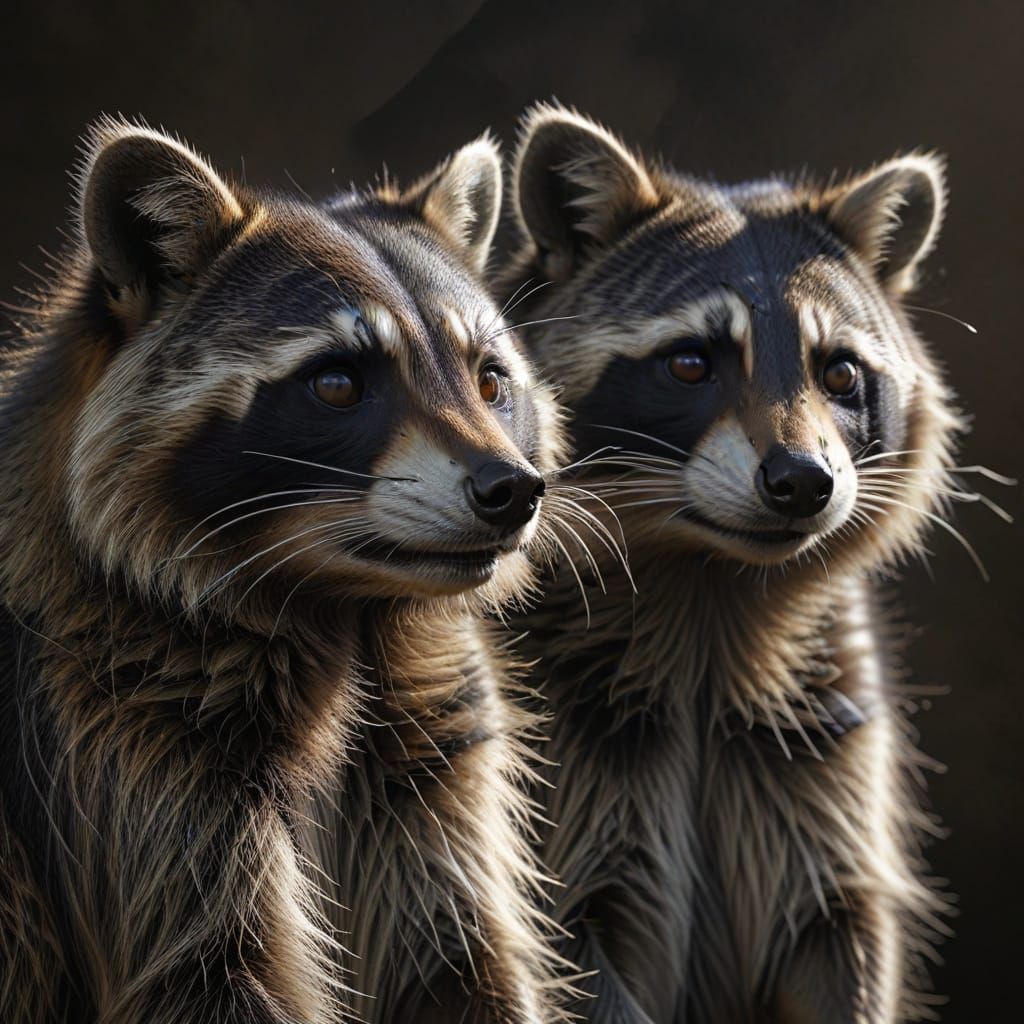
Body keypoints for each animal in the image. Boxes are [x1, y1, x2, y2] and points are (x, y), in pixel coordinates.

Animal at [0, 119, 566, 1023]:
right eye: (336, 382)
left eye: (489, 379)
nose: (512, 489)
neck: (351, 608)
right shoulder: (117, 734)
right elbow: (208, 975)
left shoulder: (433, 754)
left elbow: (459, 958)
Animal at [499, 105, 967, 1022]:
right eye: (690, 362)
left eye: (841, 372)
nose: (803, 482)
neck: (708, 577)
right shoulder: (545, 761)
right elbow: (568, 958)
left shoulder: (826, 748)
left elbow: (844, 937)